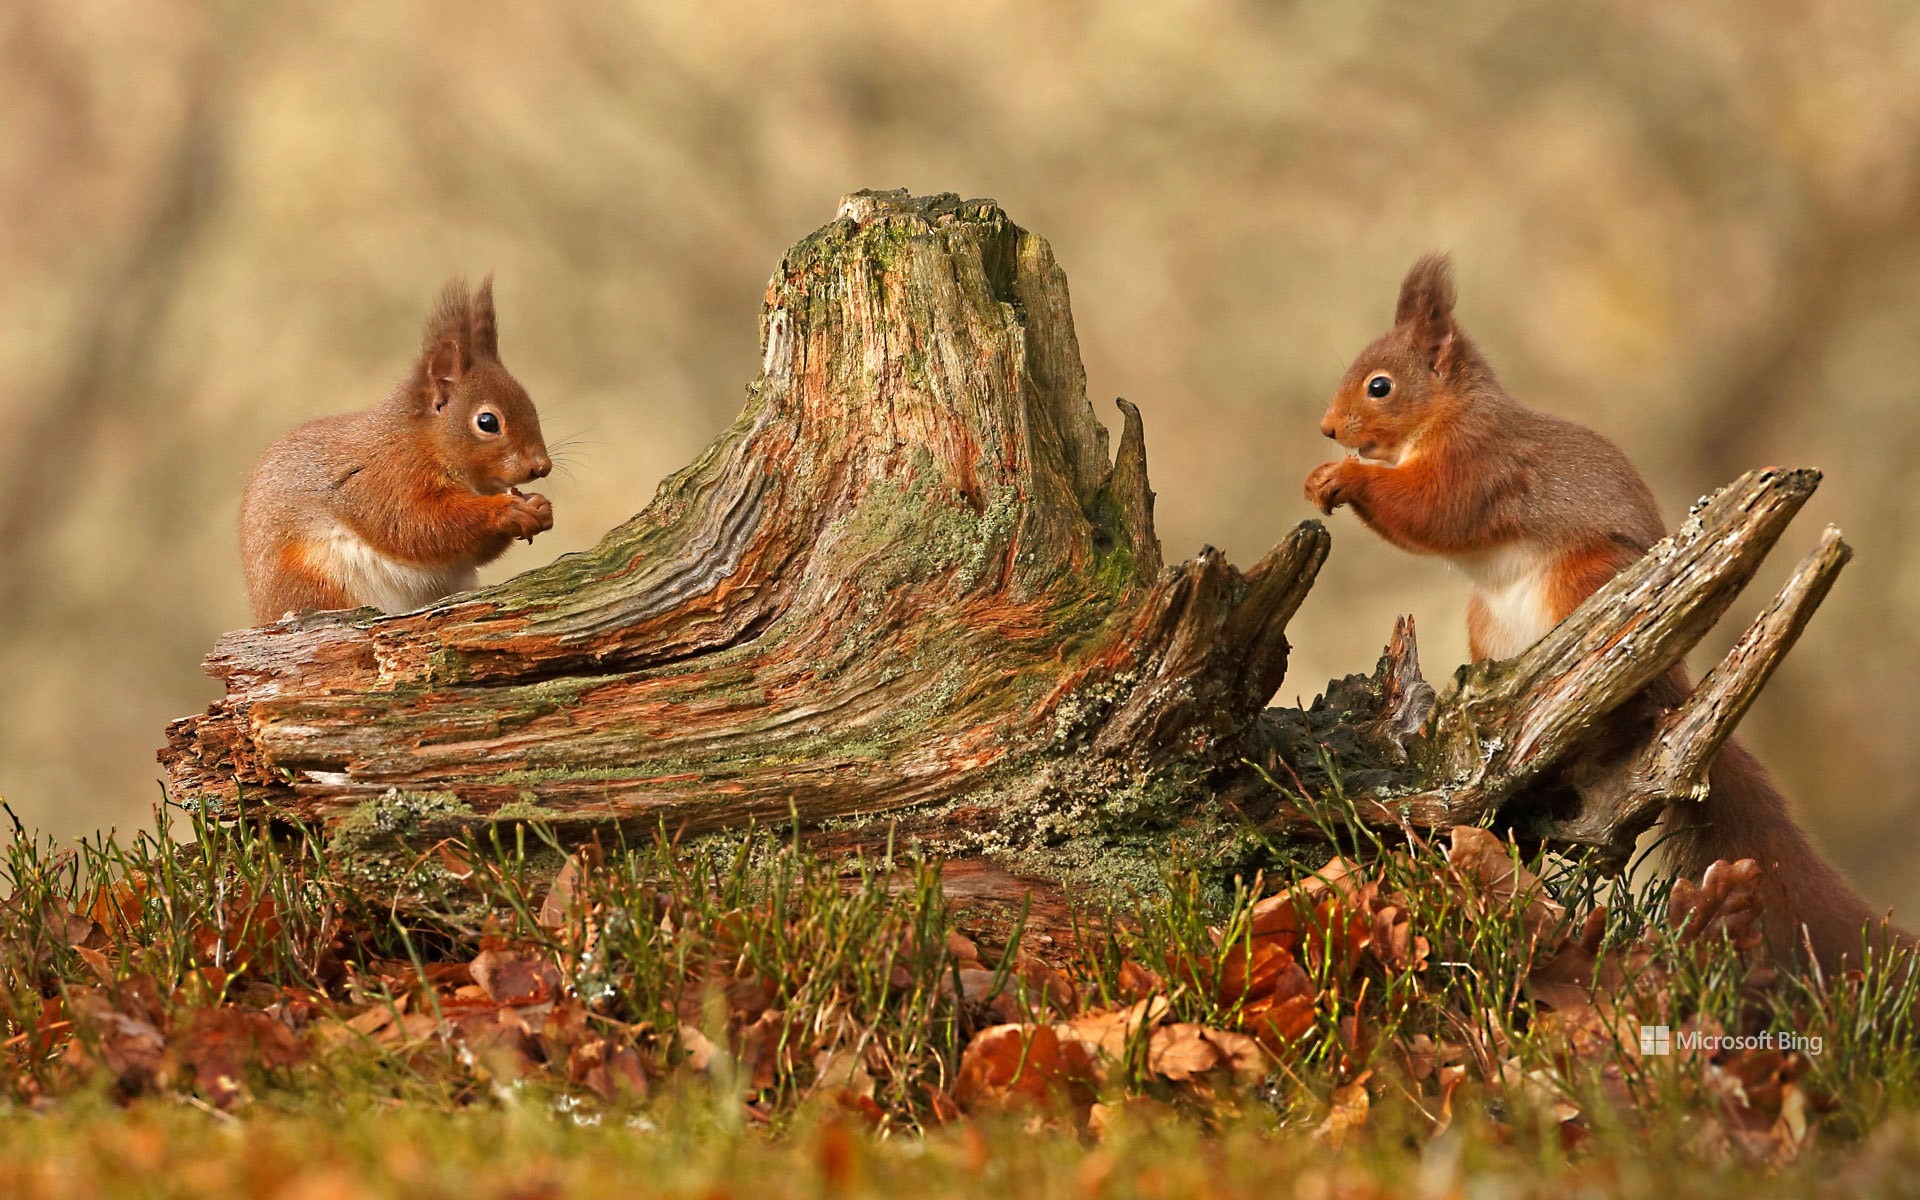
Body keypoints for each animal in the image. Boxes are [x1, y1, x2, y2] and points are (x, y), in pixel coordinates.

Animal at [240, 277, 553, 623]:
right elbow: (418, 526)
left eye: (531, 405)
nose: (542, 466)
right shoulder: (384, 480)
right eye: (487, 422)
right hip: (313, 582)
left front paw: (539, 506)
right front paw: (507, 510)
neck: (419, 442)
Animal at [1304, 253, 1908, 971]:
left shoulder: (1483, 462)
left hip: (1584, 586)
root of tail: (1673, 683)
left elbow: (1434, 510)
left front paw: (1343, 477)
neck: (1448, 415)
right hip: (1488, 621)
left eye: (1380, 386)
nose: (1328, 430)